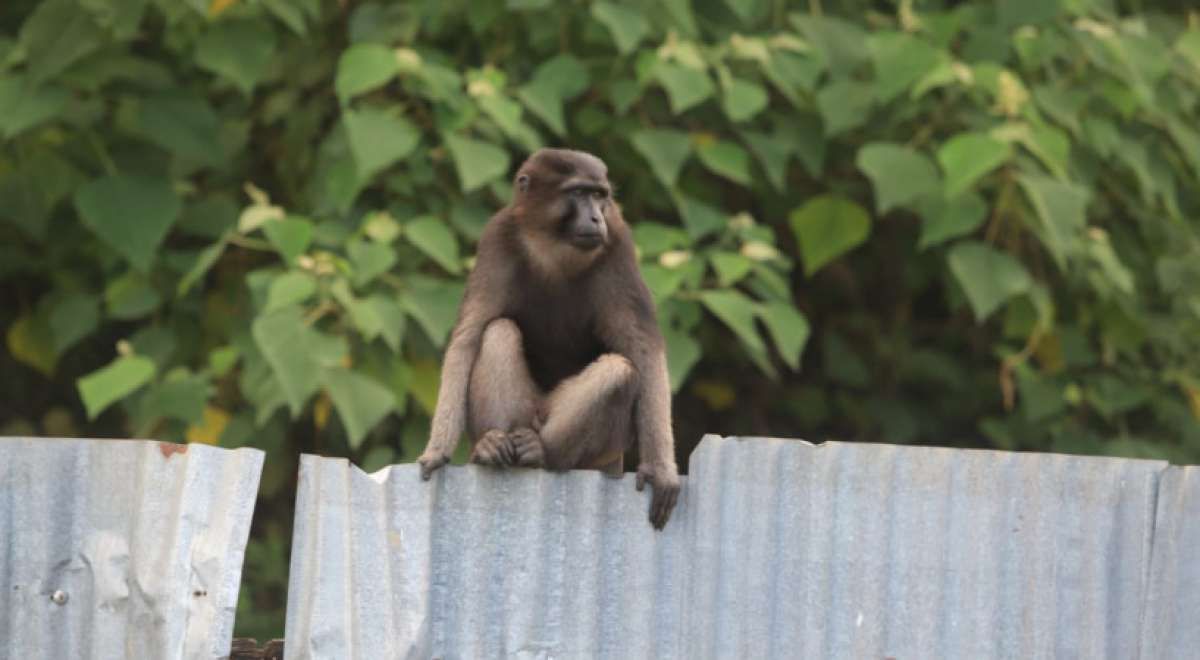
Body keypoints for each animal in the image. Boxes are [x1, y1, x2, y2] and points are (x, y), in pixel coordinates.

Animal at [417, 147, 681, 530]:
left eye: (600, 195)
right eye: (579, 193)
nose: (596, 218)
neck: (551, 244)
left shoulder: (618, 242)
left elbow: (643, 349)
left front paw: (661, 469)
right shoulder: (498, 237)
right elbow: (468, 337)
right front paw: (438, 449)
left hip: (590, 443)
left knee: (618, 370)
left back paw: (542, 452)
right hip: (525, 412)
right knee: (498, 330)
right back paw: (493, 446)